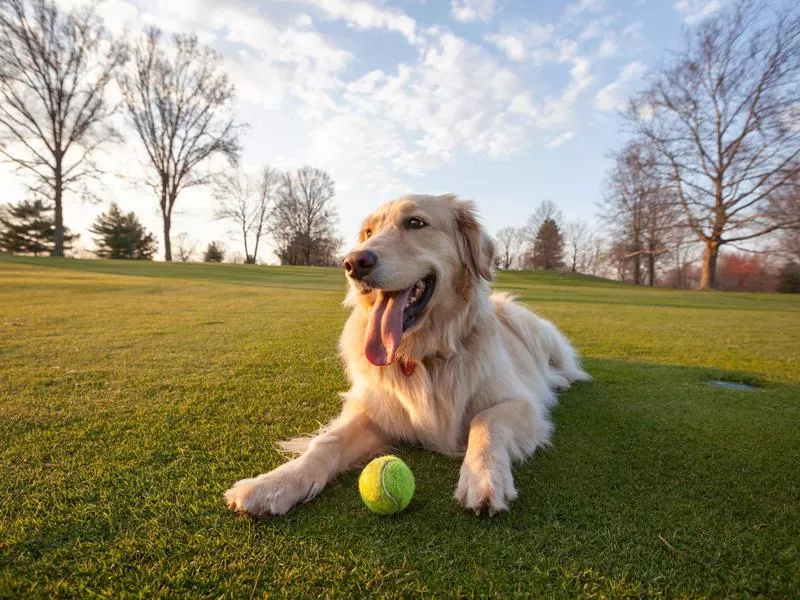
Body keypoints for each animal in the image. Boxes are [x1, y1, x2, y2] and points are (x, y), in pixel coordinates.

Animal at [225, 192, 588, 516]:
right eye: (367, 232)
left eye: (415, 222)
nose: (353, 263)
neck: (424, 354)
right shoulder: (376, 410)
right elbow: (326, 442)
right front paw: (275, 483)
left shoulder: (520, 403)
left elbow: (485, 421)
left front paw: (483, 478)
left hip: (529, 325)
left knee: (563, 367)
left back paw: (560, 380)